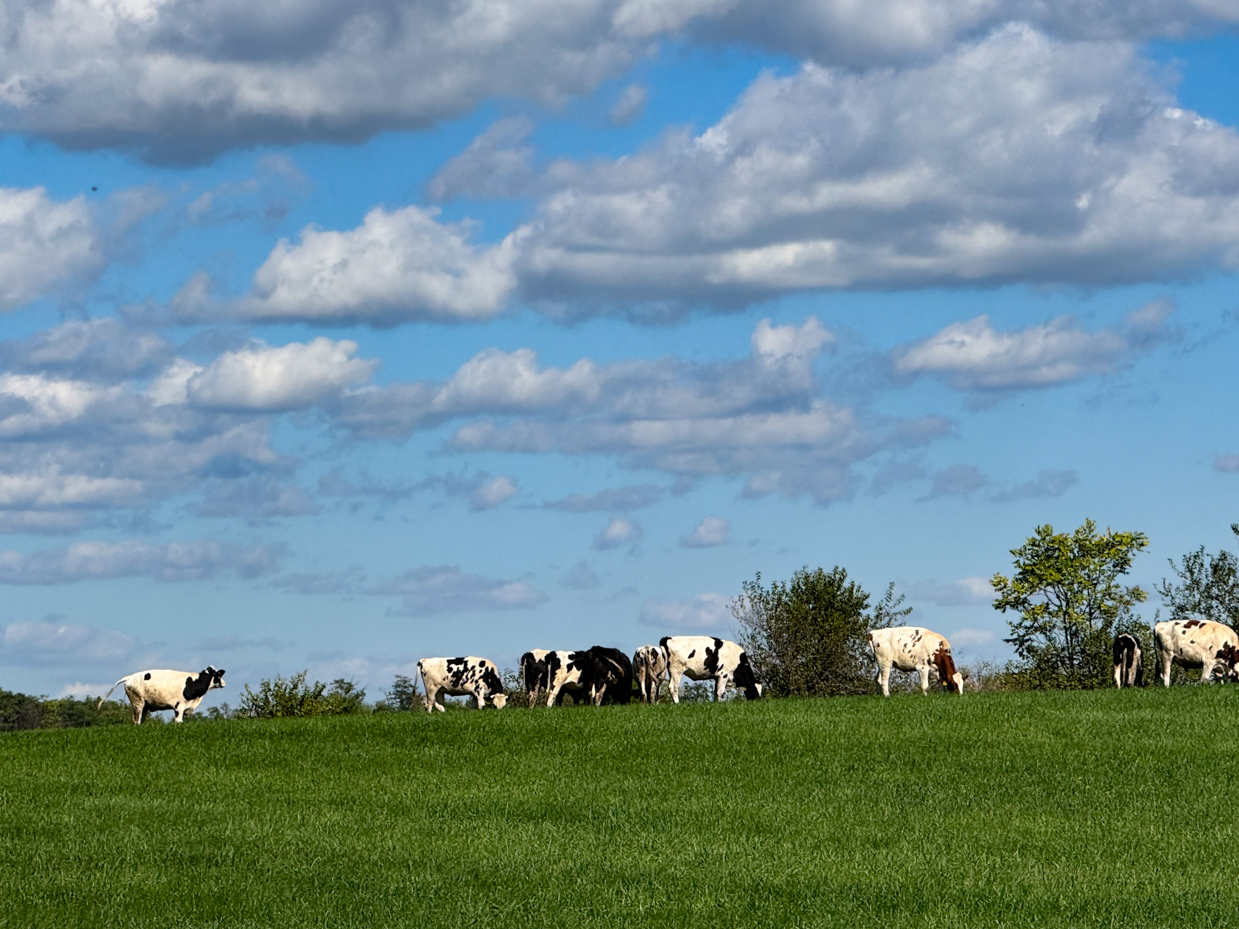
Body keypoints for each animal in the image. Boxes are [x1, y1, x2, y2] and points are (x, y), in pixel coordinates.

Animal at [97, 663, 226, 723]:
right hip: (137, 702)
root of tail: (130, 677)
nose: (224, 683)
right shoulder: (179, 706)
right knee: (136, 721)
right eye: (219, 676)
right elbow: (179, 721)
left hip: (144, 705)